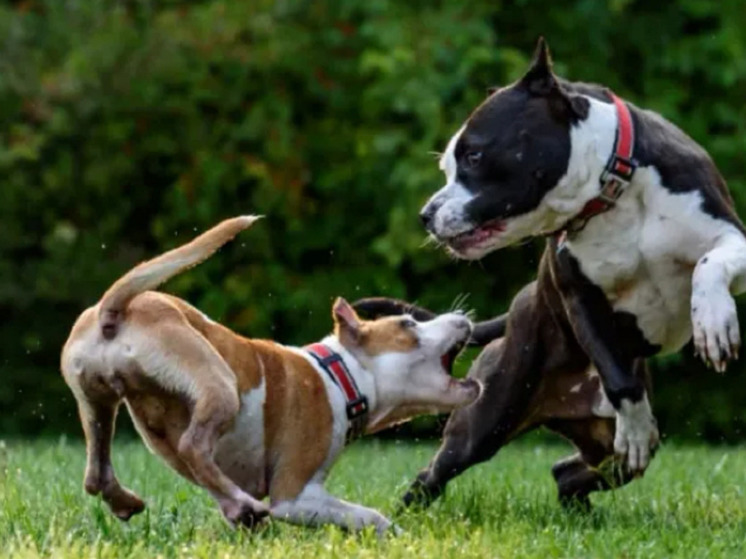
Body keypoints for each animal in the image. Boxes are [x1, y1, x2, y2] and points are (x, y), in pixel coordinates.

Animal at [59, 217, 476, 536]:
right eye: (408, 324)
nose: (463, 317)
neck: (341, 375)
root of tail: (114, 310)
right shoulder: (295, 496)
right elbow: (367, 515)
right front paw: (397, 535)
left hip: (96, 402)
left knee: (97, 473)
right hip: (218, 382)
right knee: (192, 445)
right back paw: (242, 503)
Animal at [354, 39, 744, 510]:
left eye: (474, 155)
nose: (426, 215)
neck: (612, 193)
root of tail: (518, 305)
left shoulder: (727, 235)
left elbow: (709, 264)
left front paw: (714, 322)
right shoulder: (580, 298)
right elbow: (618, 378)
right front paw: (634, 426)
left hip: (599, 445)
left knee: (572, 471)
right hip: (486, 419)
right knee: (436, 472)